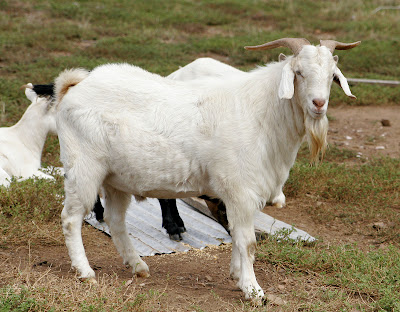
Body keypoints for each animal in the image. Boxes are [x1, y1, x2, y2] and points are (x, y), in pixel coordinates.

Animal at [52, 38, 360, 302]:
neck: (262, 114)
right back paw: (85, 273)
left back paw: (137, 266)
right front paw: (253, 290)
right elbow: (248, 242)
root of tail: (74, 85)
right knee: (70, 218)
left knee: (115, 219)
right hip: (84, 168)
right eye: (298, 72)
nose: (318, 104)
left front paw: (237, 275)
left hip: (116, 178)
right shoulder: (240, 190)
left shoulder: (239, 195)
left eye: (332, 76)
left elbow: (236, 235)